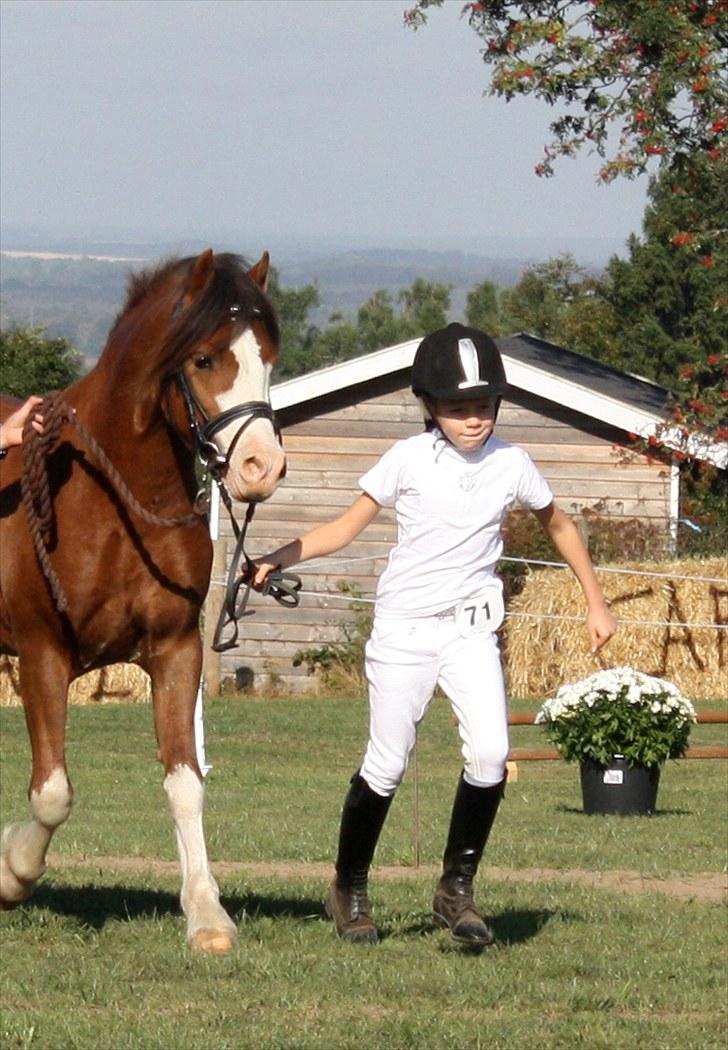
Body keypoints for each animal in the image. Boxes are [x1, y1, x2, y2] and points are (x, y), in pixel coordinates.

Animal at [0, 249, 283, 957]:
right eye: (204, 358)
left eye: (269, 354)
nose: (263, 467)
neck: (109, 499)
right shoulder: (43, 655)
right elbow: (52, 793)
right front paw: (13, 873)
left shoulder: (176, 651)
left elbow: (185, 783)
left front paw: (206, 914)